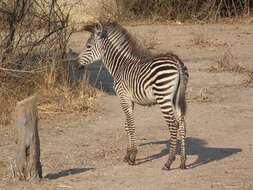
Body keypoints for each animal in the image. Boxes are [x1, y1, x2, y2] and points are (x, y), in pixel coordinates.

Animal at [78, 21, 189, 169]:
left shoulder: (123, 97)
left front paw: (133, 156)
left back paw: (169, 161)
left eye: (88, 46)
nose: (76, 64)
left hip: (163, 98)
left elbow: (130, 125)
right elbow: (127, 125)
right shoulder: (130, 100)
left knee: (173, 124)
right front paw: (127, 154)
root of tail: (176, 61)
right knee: (182, 124)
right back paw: (183, 161)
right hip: (177, 98)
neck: (120, 66)